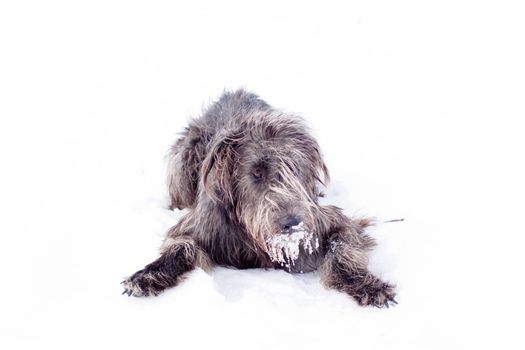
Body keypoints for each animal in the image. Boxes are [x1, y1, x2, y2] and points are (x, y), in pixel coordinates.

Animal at [122, 89, 392, 308]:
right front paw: (149, 274)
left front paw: (366, 284)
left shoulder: (328, 222)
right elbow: (180, 244)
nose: (292, 224)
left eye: (294, 168)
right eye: (256, 172)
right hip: (184, 159)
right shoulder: (202, 225)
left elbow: (341, 246)